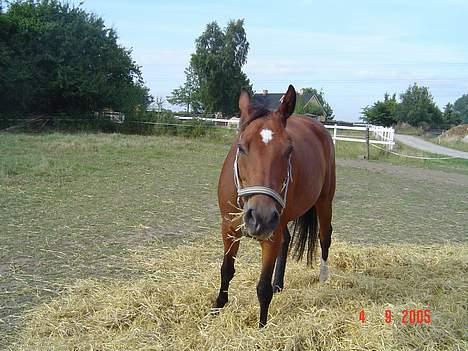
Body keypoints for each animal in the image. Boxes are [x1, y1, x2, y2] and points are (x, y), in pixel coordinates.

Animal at [214, 84, 334, 328]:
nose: (260, 217)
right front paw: (217, 306)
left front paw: (262, 327)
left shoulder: (270, 236)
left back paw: (323, 277)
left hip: (324, 202)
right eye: (241, 147)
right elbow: (226, 270)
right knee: (287, 240)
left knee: (325, 237)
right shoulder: (228, 228)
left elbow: (262, 288)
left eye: (289, 150)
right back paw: (279, 283)